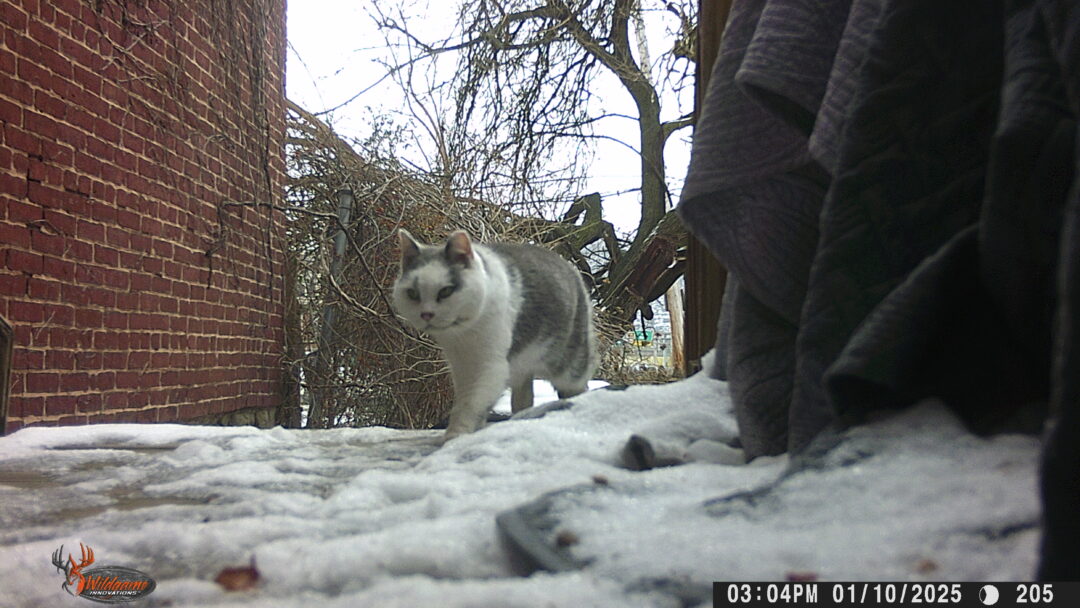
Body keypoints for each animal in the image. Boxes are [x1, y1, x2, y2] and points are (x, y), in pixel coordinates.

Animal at [393, 229, 597, 441]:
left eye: (446, 291)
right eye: (413, 293)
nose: (426, 314)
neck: (463, 336)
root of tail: (569, 267)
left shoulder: (490, 365)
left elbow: (471, 403)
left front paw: (456, 434)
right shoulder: (460, 366)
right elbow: (467, 398)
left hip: (570, 363)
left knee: (577, 386)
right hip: (522, 367)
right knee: (523, 397)